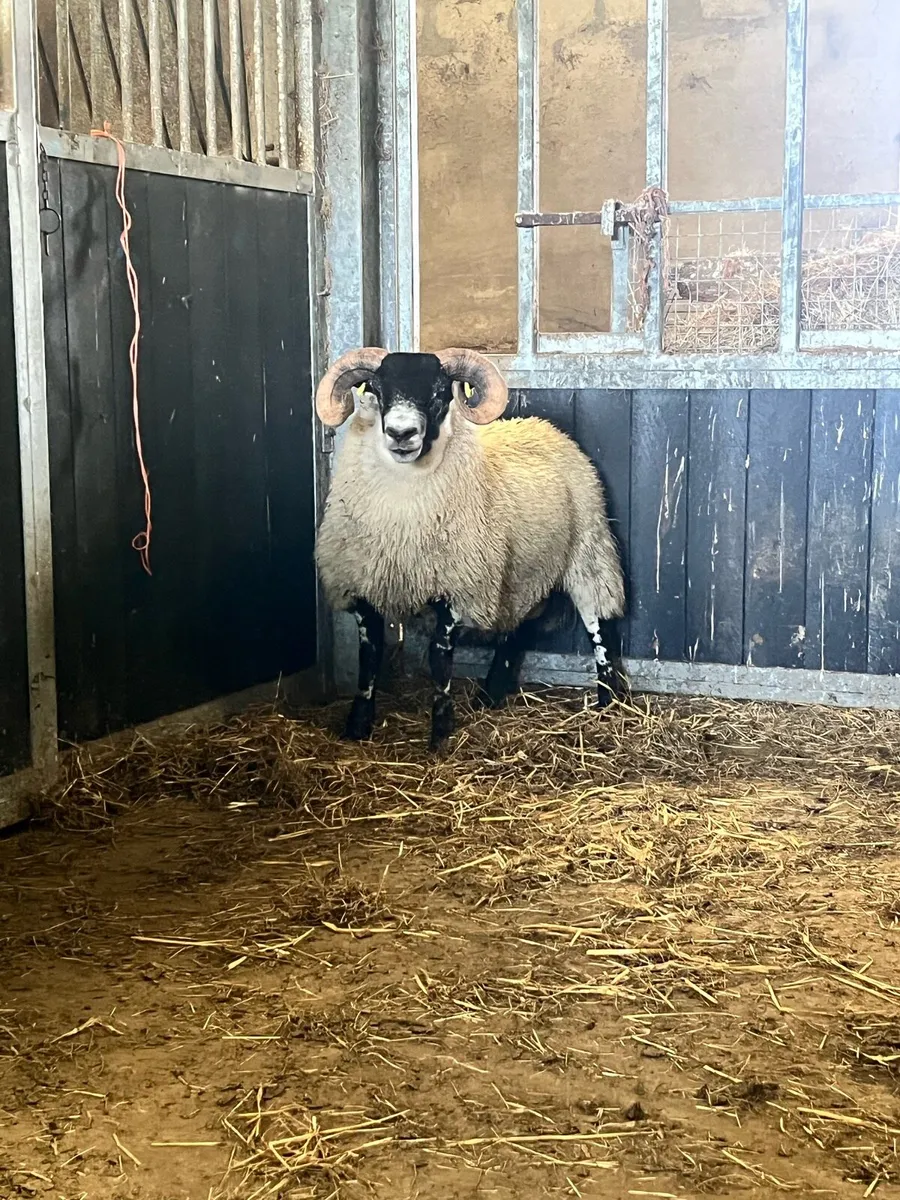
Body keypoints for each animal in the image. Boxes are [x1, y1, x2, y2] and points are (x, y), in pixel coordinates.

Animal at [314, 346, 626, 749]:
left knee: (599, 624)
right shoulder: (362, 588)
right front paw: (356, 727)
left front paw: (440, 733)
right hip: (520, 573)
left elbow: (439, 659)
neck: (401, 519)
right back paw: (490, 695)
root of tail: (544, 427)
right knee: (516, 629)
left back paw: (608, 701)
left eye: (438, 394)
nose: (401, 433)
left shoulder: (457, 588)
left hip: (588, 549)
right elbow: (368, 661)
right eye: (378, 391)